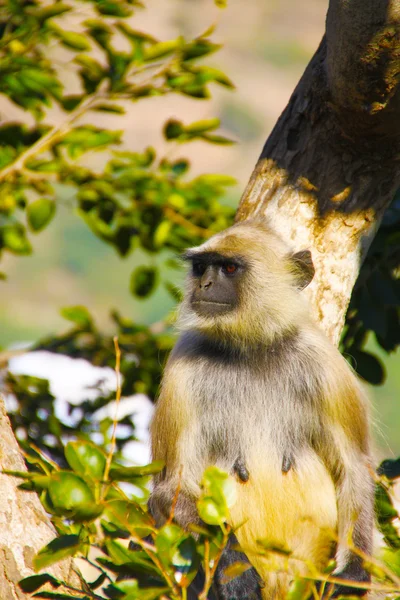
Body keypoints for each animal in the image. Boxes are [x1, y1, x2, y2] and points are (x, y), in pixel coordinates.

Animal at [149, 218, 376, 596]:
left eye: (228, 268)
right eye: (201, 267)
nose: (205, 284)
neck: (250, 349)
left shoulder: (325, 363)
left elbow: (353, 468)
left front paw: (354, 572)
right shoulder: (182, 368)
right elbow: (170, 488)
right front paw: (233, 571)